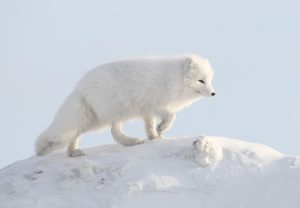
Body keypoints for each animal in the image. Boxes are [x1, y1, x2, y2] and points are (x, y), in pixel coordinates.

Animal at [35, 54, 216, 157]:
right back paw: (131, 141)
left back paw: (74, 152)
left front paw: (155, 136)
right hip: (114, 111)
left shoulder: (147, 111)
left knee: (78, 133)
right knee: (113, 131)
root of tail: (79, 88)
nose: (214, 93)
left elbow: (149, 125)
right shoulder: (152, 104)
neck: (173, 78)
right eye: (201, 81)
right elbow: (171, 115)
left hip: (95, 119)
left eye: (209, 80)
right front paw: (161, 128)